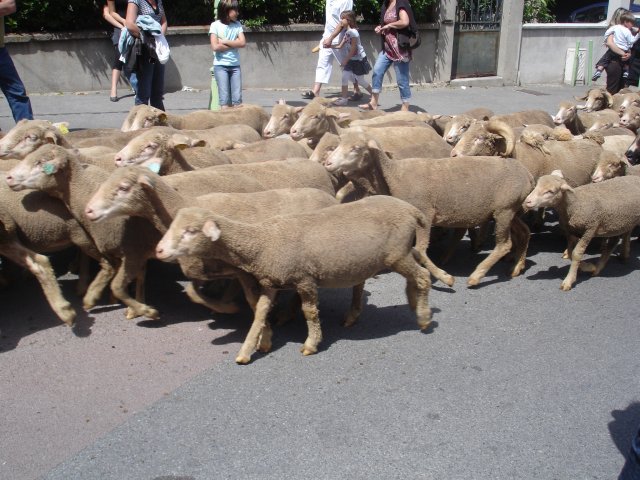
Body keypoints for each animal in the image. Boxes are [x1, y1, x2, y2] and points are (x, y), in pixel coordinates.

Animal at [6, 144, 161, 320]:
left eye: (40, 162)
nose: (9, 177)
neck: (81, 188)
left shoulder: (122, 246)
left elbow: (117, 270)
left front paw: (93, 297)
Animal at [155, 195, 436, 364]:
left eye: (190, 231)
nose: (158, 251)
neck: (263, 242)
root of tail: (411, 209)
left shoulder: (305, 280)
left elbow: (309, 312)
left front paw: (311, 343)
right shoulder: (271, 282)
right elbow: (260, 312)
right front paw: (251, 348)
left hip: (396, 254)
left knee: (422, 277)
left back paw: (423, 317)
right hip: (379, 258)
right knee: (376, 282)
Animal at [324, 130, 528, 284]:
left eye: (356, 148)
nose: (327, 163)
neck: (394, 174)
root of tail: (527, 176)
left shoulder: (424, 214)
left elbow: (420, 250)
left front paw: (445, 278)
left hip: (504, 210)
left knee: (504, 244)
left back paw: (476, 276)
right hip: (510, 210)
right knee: (524, 231)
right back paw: (516, 268)